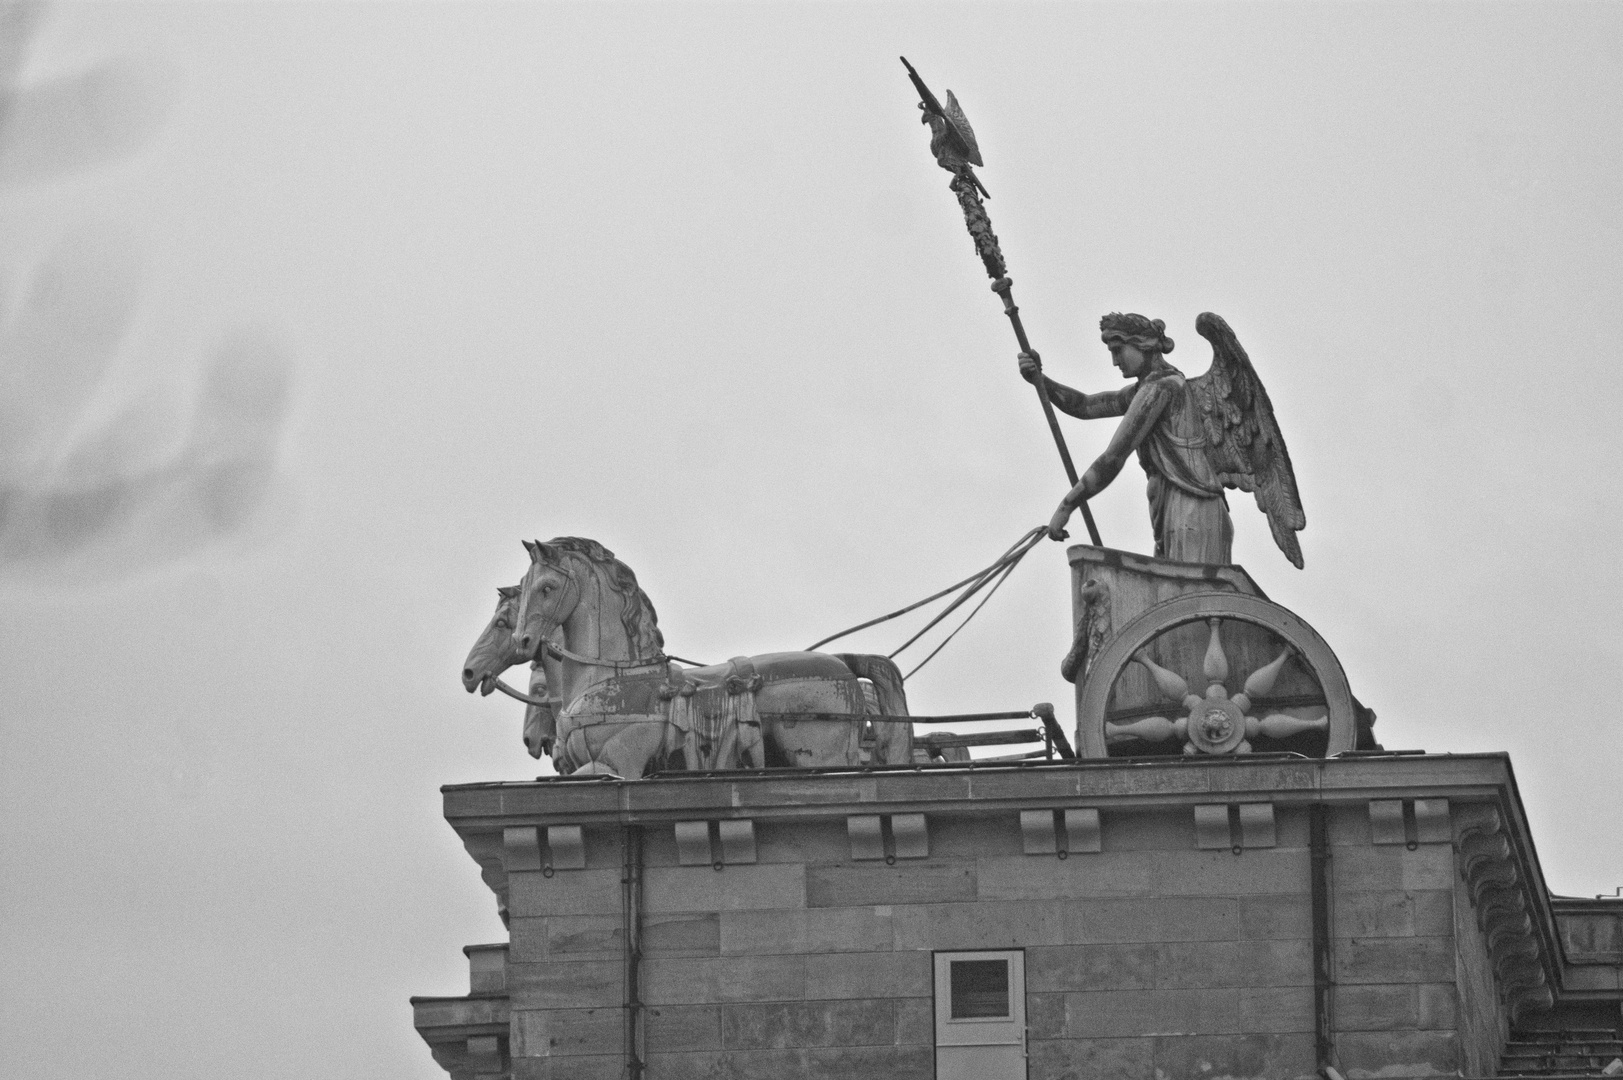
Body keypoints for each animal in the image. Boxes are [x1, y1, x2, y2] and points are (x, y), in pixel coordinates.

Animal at [499, 535, 915, 776]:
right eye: (522, 585)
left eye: (547, 587)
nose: (522, 640)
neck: (614, 676)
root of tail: (842, 664)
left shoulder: (619, 766)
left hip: (822, 758)